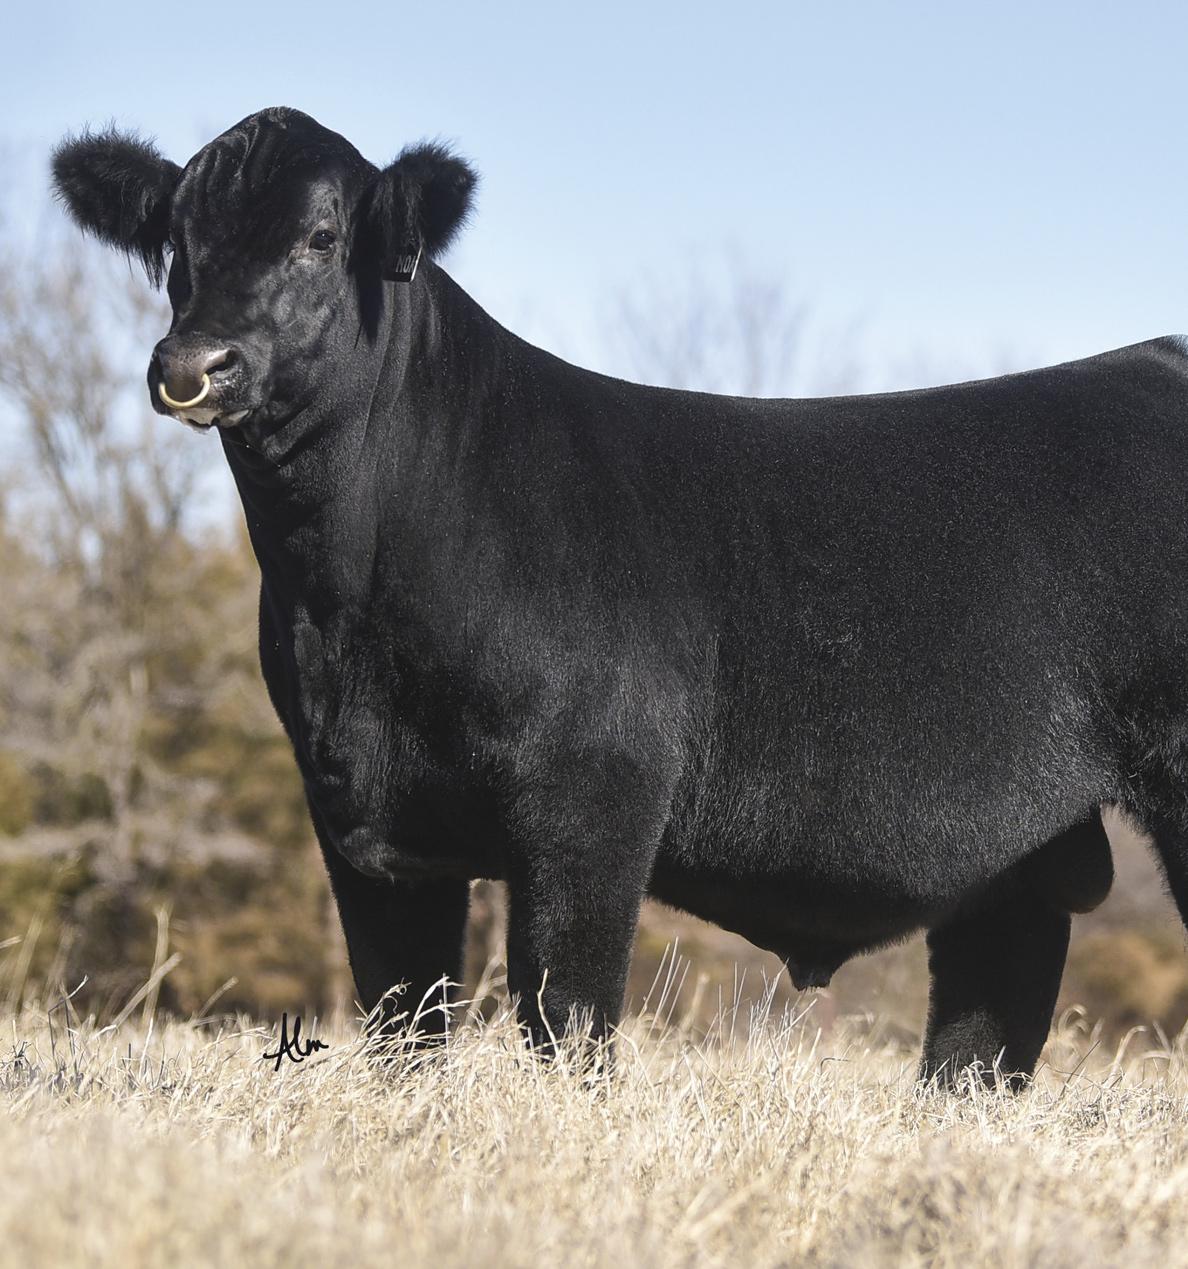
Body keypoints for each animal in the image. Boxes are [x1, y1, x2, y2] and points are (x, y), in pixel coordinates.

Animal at [51, 106, 1186, 1088]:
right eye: (174, 242)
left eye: (321, 239)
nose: (195, 365)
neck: (344, 613)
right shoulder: (359, 817)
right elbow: (401, 1021)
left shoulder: (595, 796)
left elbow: (567, 1017)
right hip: (1019, 862)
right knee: (984, 1035)